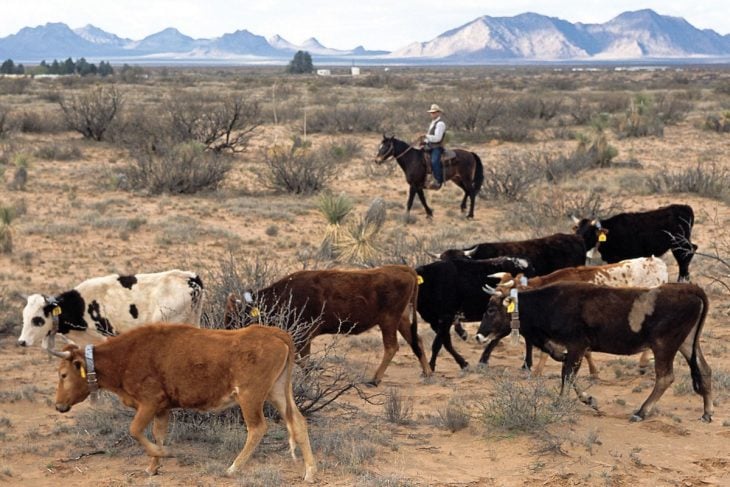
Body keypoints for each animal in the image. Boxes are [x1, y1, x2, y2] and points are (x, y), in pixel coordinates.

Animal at [51, 324, 312, 480]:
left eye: (63, 374)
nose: (58, 406)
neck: (125, 356)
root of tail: (276, 334)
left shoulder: (149, 403)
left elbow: (135, 430)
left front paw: (164, 454)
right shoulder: (162, 409)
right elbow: (157, 433)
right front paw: (153, 466)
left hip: (251, 396)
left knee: (257, 427)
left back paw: (233, 468)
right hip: (278, 392)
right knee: (298, 422)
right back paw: (310, 472)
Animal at [219, 264, 430, 386]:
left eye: (235, 318)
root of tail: (404, 269)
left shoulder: (304, 335)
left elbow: (302, 360)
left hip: (389, 320)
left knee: (392, 347)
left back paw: (374, 379)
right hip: (401, 319)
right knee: (416, 340)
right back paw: (427, 372)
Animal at [474, 282, 708, 424]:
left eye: (491, 310)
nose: (478, 336)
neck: (549, 304)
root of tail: (689, 288)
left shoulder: (576, 345)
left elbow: (567, 375)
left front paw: (560, 404)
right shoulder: (569, 349)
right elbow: (568, 372)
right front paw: (589, 400)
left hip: (664, 345)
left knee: (665, 377)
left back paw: (640, 412)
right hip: (687, 343)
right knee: (705, 370)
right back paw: (707, 412)